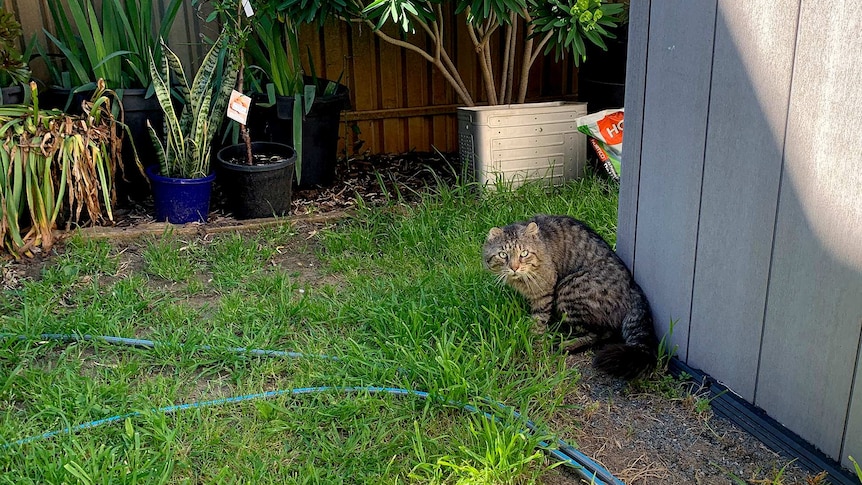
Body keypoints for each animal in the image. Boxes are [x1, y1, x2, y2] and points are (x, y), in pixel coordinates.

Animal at [482, 215, 660, 378]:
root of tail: (634, 288)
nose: (514, 267)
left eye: (524, 253)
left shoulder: (544, 290)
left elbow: (539, 319)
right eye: (503, 255)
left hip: (567, 290)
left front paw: (532, 339)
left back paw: (567, 345)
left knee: (604, 333)